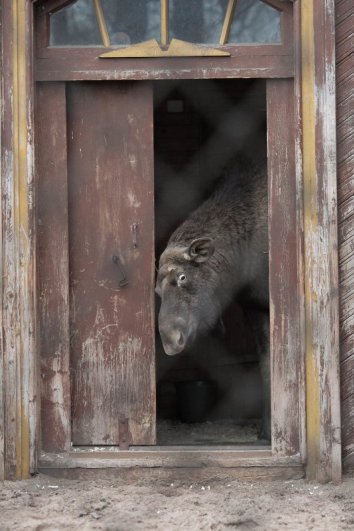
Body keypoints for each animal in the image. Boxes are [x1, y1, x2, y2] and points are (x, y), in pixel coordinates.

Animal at [156, 159, 272, 440]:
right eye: (157, 291)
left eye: (183, 277)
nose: (171, 341)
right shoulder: (254, 307)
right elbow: (266, 364)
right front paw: (268, 429)